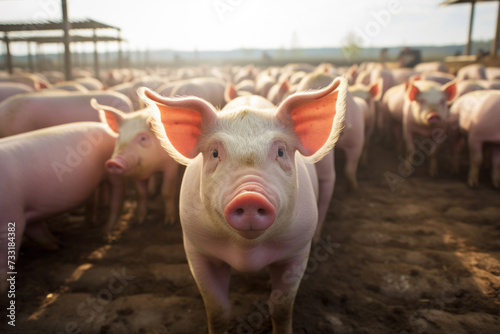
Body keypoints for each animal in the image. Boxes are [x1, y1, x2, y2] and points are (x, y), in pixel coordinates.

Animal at [0, 122, 125, 292]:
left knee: (116, 198)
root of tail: (105, 126)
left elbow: (5, 252)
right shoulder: (27, 211)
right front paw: (58, 246)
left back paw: (105, 232)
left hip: (113, 172)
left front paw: (1, 288)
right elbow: (37, 230)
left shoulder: (10, 213)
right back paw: (86, 226)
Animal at [92, 100, 182, 228]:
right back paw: (151, 192)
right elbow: (140, 194)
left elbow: (166, 191)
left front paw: (169, 222)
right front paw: (138, 221)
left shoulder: (171, 166)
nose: (114, 162)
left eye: (143, 138)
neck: (152, 166)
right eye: (119, 137)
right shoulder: (137, 172)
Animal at [137, 77, 348, 334]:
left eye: (280, 151)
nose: (249, 195)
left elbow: (281, 307)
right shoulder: (196, 248)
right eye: (214, 153)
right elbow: (217, 309)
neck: (247, 254)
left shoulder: (297, 249)